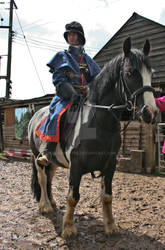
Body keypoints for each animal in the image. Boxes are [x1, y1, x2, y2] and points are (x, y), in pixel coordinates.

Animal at [28, 37, 159, 238]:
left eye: (150, 73)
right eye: (130, 72)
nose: (150, 112)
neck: (98, 122)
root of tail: (35, 115)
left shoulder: (110, 165)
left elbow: (107, 196)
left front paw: (110, 226)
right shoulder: (76, 166)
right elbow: (73, 197)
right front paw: (68, 228)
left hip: (53, 162)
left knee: (49, 178)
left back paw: (52, 202)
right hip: (37, 157)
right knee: (42, 179)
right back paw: (45, 207)